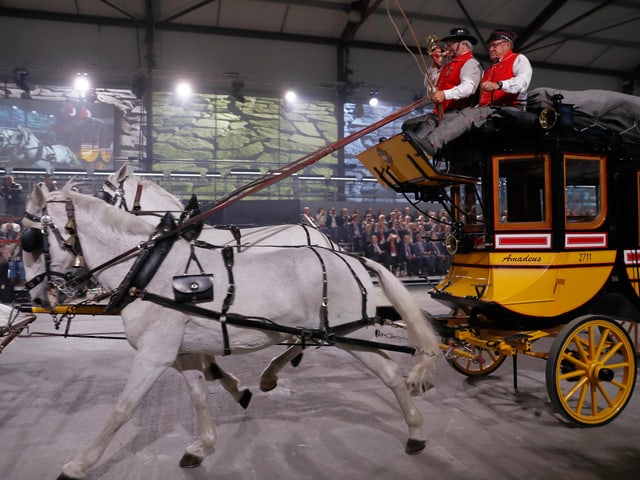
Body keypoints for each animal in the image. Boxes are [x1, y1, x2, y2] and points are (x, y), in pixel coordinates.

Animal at [21, 185, 440, 480]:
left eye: (30, 240)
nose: (36, 295)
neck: (150, 269)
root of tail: (352, 257)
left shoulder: (154, 355)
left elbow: (121, 410)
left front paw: (79, 464)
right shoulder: (183, 353)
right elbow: (199, 396)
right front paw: (202, 445)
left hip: (346, 333)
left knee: (390, 374)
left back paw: (416, 433)